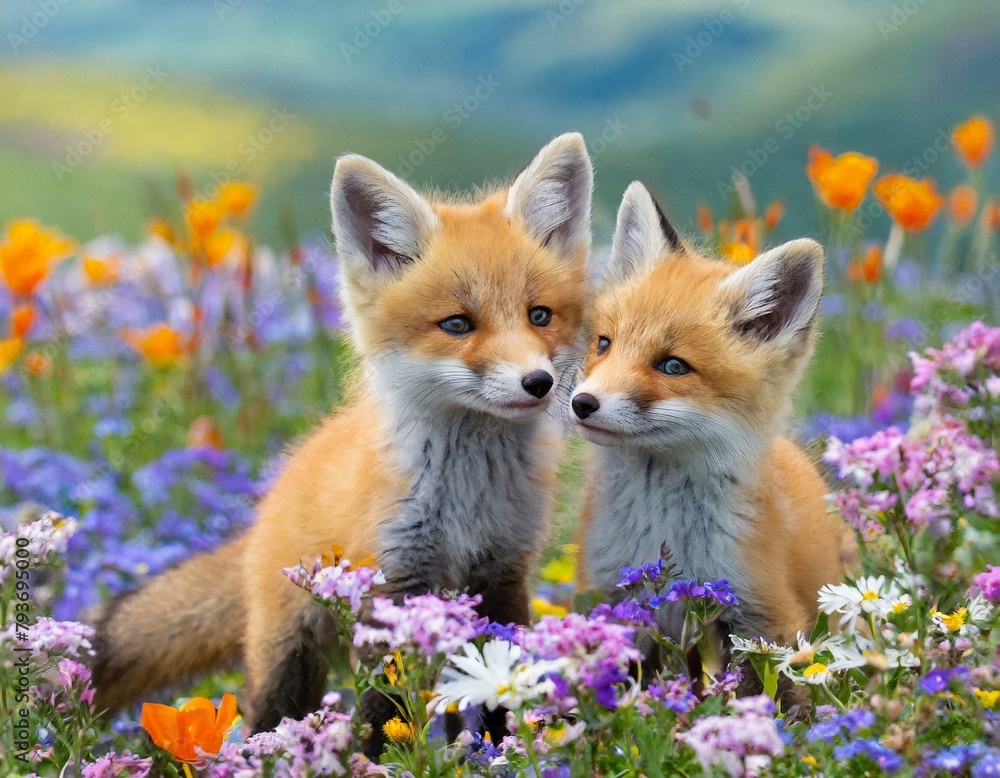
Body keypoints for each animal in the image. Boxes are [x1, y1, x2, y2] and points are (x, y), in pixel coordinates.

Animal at [91, 133, 593, 748]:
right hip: (290, 655)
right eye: (457, 324)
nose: (538, 383)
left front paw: (502, 750)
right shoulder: (394, 579)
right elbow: (384, 704)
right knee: (269, 714)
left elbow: (497, 676)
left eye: (539, 315)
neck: (465, 498)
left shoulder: (502, 571)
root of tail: (265, 508)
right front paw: (381, 757)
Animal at [571, 181, 852, 649]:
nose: (582, 403)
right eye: (604, 344)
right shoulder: (612, 597)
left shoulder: (768, 616)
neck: (660, 527)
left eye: (673, 366)